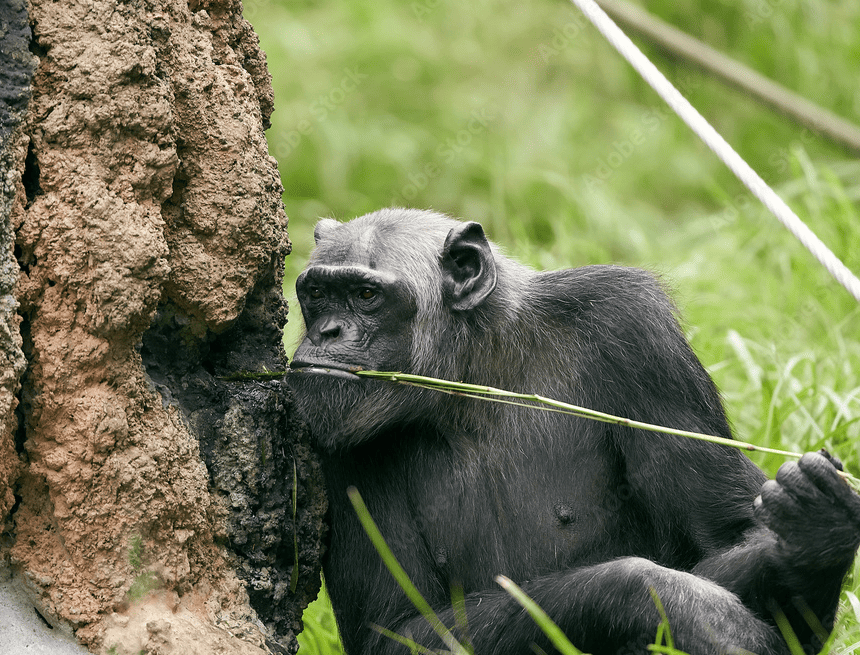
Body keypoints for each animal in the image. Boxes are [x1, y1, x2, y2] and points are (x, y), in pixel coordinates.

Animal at [288, 209, 860, 655]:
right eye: (316, 293)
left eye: (366, 295)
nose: (326, 331)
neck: (477, 373)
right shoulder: (336, 449)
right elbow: (396, 628)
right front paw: (664, 599)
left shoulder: (636, 331)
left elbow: (730, 534)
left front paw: (813, 536)